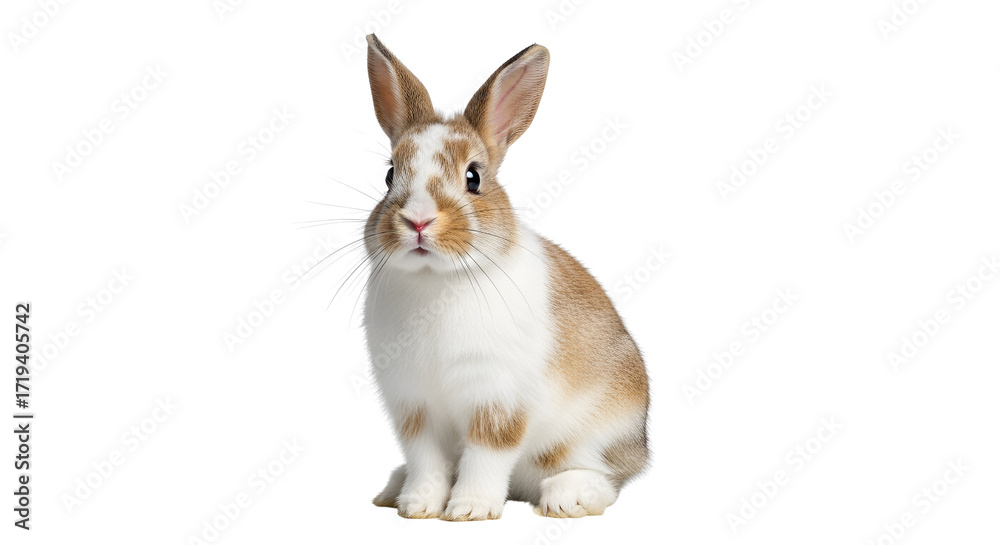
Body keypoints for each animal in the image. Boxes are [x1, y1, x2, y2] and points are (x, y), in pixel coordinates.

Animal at [361, 33, 649, 521]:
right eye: (389, 175)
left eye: (474, 177)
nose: (417, 221)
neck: (437, 280)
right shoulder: (415, 407)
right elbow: (426, 461)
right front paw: (418, 506)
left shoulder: (497, 401)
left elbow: (486, 454)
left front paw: (468, 510)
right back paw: (392, 491)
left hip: (597, 433)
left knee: (606, 478)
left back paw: (566, 497)